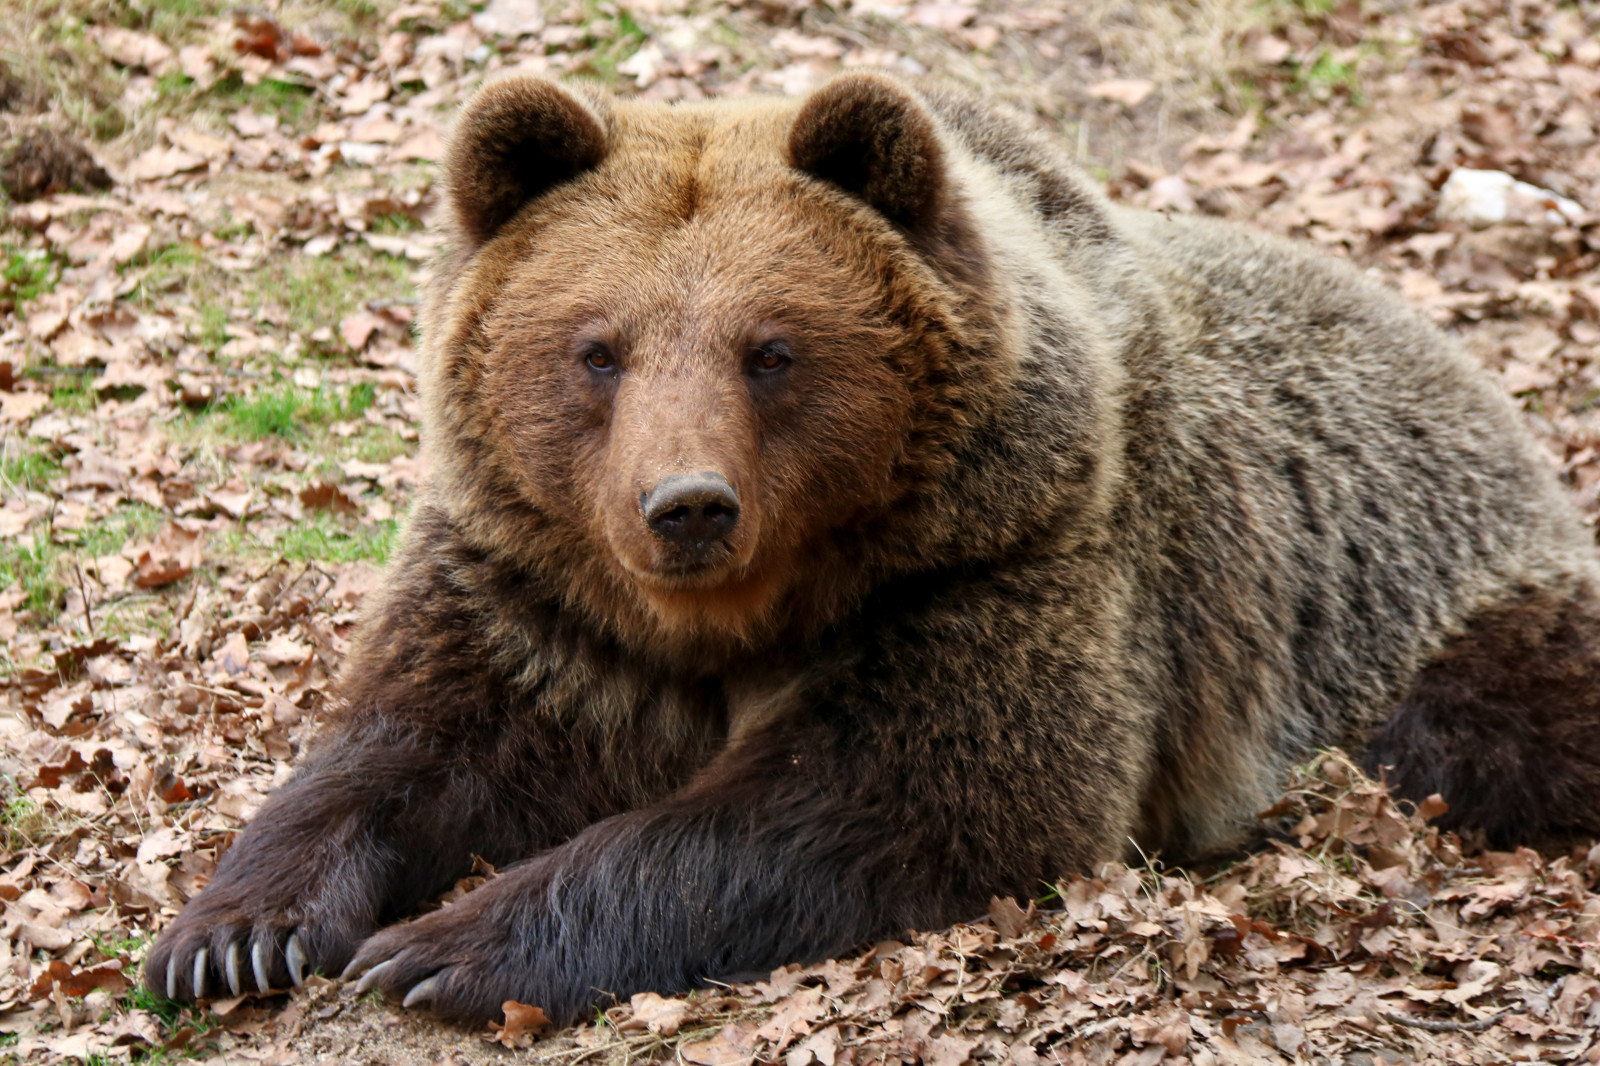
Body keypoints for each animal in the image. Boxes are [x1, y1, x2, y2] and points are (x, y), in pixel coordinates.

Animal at [137, 70, 1600, 1017]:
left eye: (770, 348)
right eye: (598, 348)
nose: (687, 503)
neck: (737, 613)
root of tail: (1466, 368)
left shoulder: (1001, 570)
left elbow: (886, 796)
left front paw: (444, 943)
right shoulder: (539, 593)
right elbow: (411, 739)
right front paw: (235, 933)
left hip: (1427, 613)